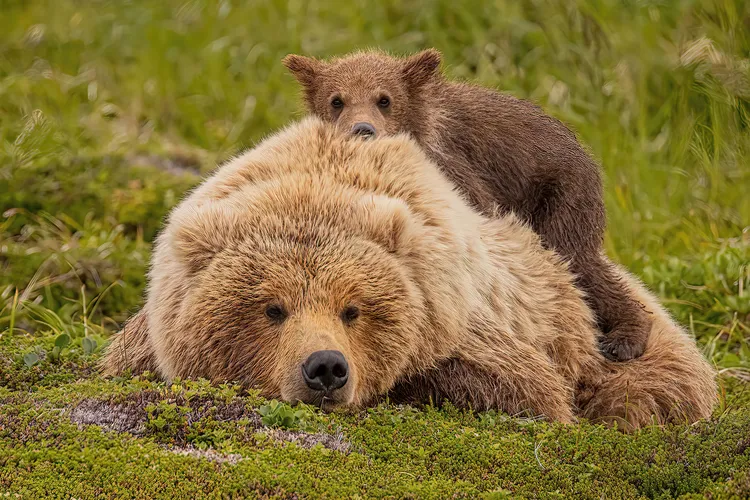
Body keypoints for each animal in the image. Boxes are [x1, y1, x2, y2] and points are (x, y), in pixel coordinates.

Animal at [102, 117, 717, 430]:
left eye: (352, 308)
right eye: (272, 307)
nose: (325, 369)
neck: (315, 182)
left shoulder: (468, 320)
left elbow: (521, 391)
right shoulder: (150, 334)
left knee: (650, 388)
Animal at [282, 49, 652, 363]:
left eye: (384, 99)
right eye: (337, 100)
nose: (363, 128)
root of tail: (583, 149)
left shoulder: (455, 169)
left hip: (561, 194)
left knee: (577, 261)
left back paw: (624, 338)